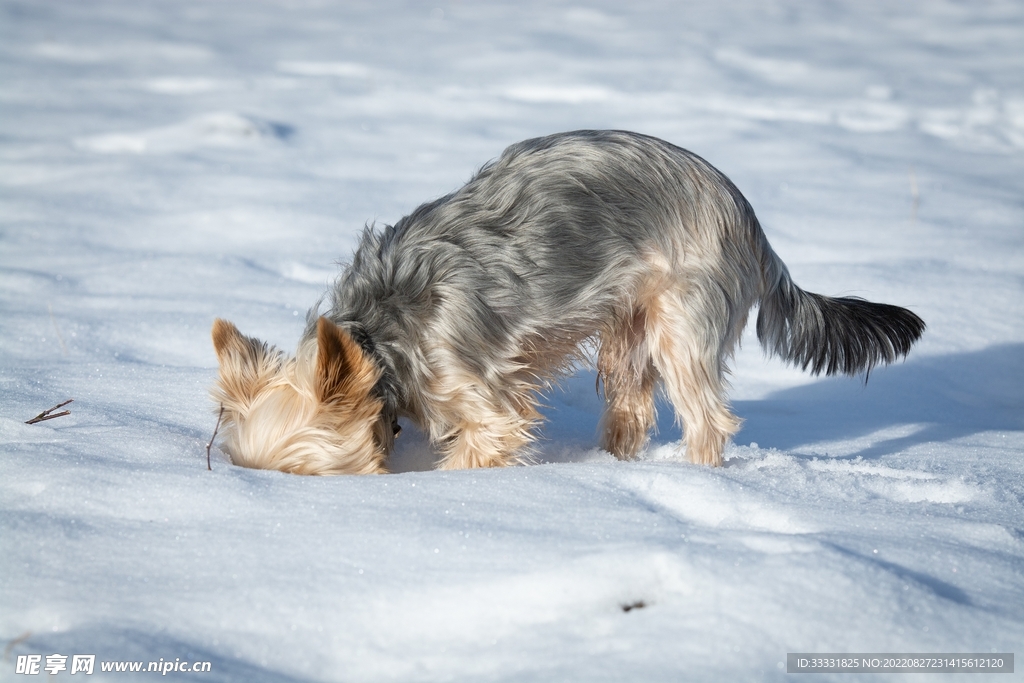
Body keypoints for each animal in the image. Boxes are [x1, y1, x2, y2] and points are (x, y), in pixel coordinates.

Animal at [209, 129, 929, 475]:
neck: (378, 339)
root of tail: (747, 213)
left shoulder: (485, 404)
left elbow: (478, 447)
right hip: (626, 322)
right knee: (631, 405)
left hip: (681, 316)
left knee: (706, 417)